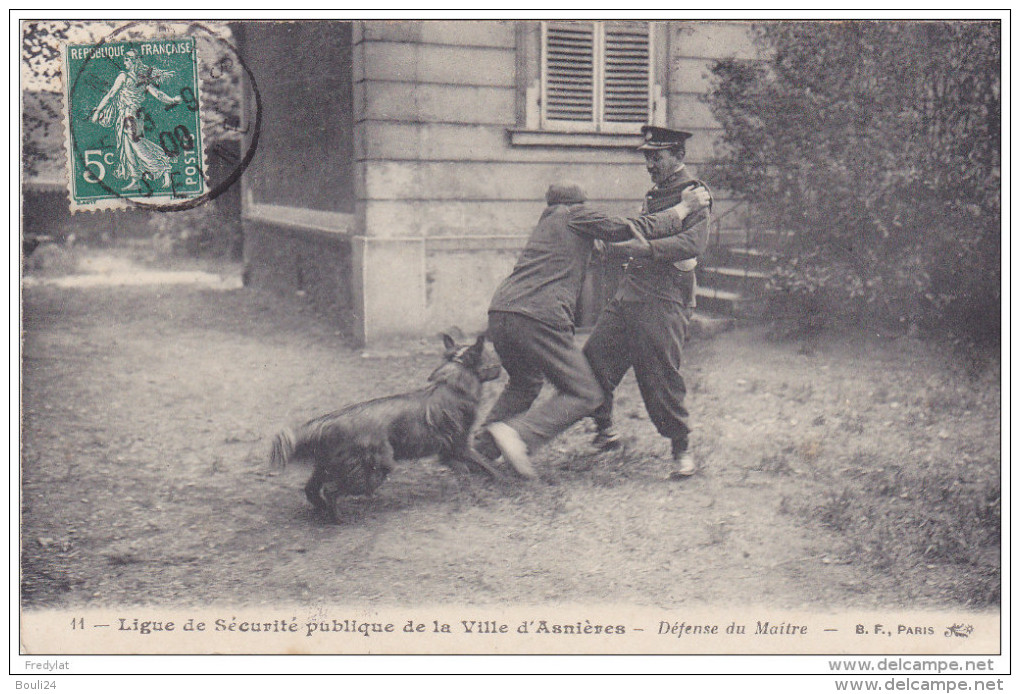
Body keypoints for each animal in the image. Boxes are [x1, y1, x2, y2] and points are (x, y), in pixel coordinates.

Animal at [271, 332, 501, 518]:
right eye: (490, 360)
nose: (501, 368)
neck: (452, 384)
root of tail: (327, 422)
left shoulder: (448, 452)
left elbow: (466, 471)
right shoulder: (460, 445)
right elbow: (483, 464)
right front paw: (498, 480)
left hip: (326, 467)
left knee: (311, 490)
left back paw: (322, 511)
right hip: (373, 470)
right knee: (331, 491)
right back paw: (338, 518)